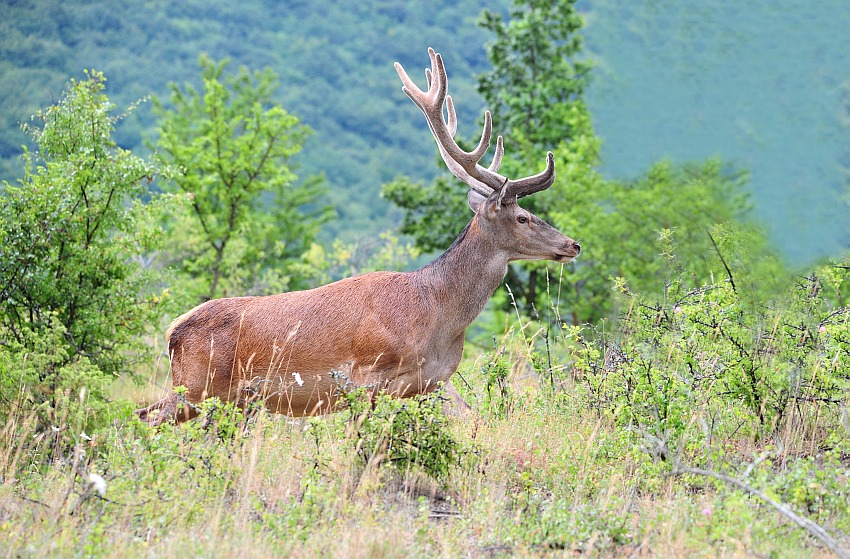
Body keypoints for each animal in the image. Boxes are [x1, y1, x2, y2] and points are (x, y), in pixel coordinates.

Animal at [136, 49, 580, 424]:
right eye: (523, 217)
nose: (572, 245)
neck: (436, 315)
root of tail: (172, 331)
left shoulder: (428, 384)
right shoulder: (367, 373)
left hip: (216, 397)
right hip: (197, 386)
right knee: (143, 418)